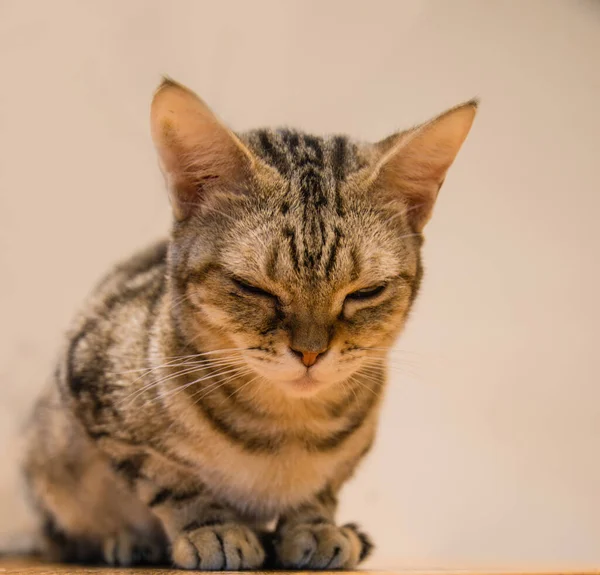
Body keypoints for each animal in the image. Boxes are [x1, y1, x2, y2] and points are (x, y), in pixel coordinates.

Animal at [21, 80, 476, 572]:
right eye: (252, 288)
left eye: (365, 292)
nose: (310, 352)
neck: (288, 427)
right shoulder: (91, 388)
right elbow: (171, 479)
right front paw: (213, 528)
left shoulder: (347, 458)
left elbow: (322, 489)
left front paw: (314, 526)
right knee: (63, 537)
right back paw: (124, 541)